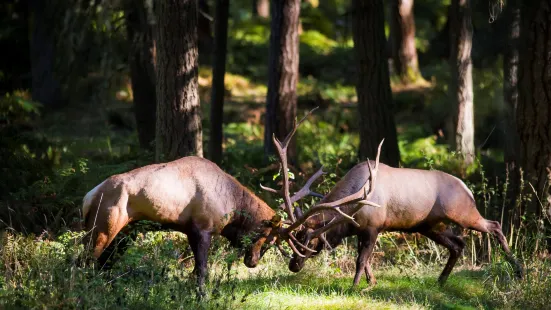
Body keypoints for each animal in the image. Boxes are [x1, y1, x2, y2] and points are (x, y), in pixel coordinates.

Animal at [249, 112, 528, 286]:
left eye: (309, 241)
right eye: (295, 238)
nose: (293, 265)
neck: (351, 211)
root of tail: (466, 188)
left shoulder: (374, 226)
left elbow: (361, 260)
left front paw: (355, 286)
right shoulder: (362, 231)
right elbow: (365, 260)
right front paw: (371, 282)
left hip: (463, 212)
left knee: (494, 225)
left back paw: (519, 271)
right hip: (429, 225)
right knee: (458, 244)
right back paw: (440, 281)